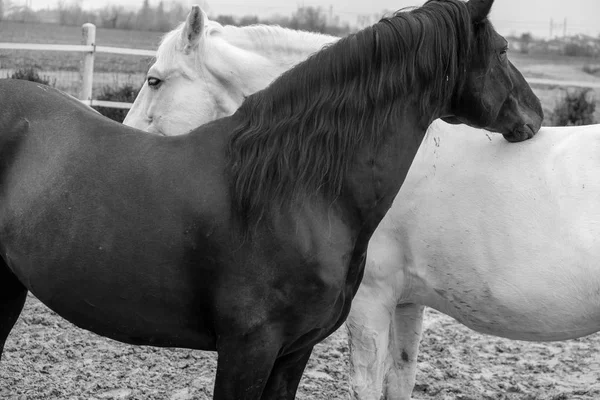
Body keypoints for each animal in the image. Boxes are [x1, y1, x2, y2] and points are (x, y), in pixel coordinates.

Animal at [0, 1, 544, 398]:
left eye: (155, 80)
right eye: (501, 50)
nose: (535, 115)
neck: (295, 194)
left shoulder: (292, 352)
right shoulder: (248, 349)